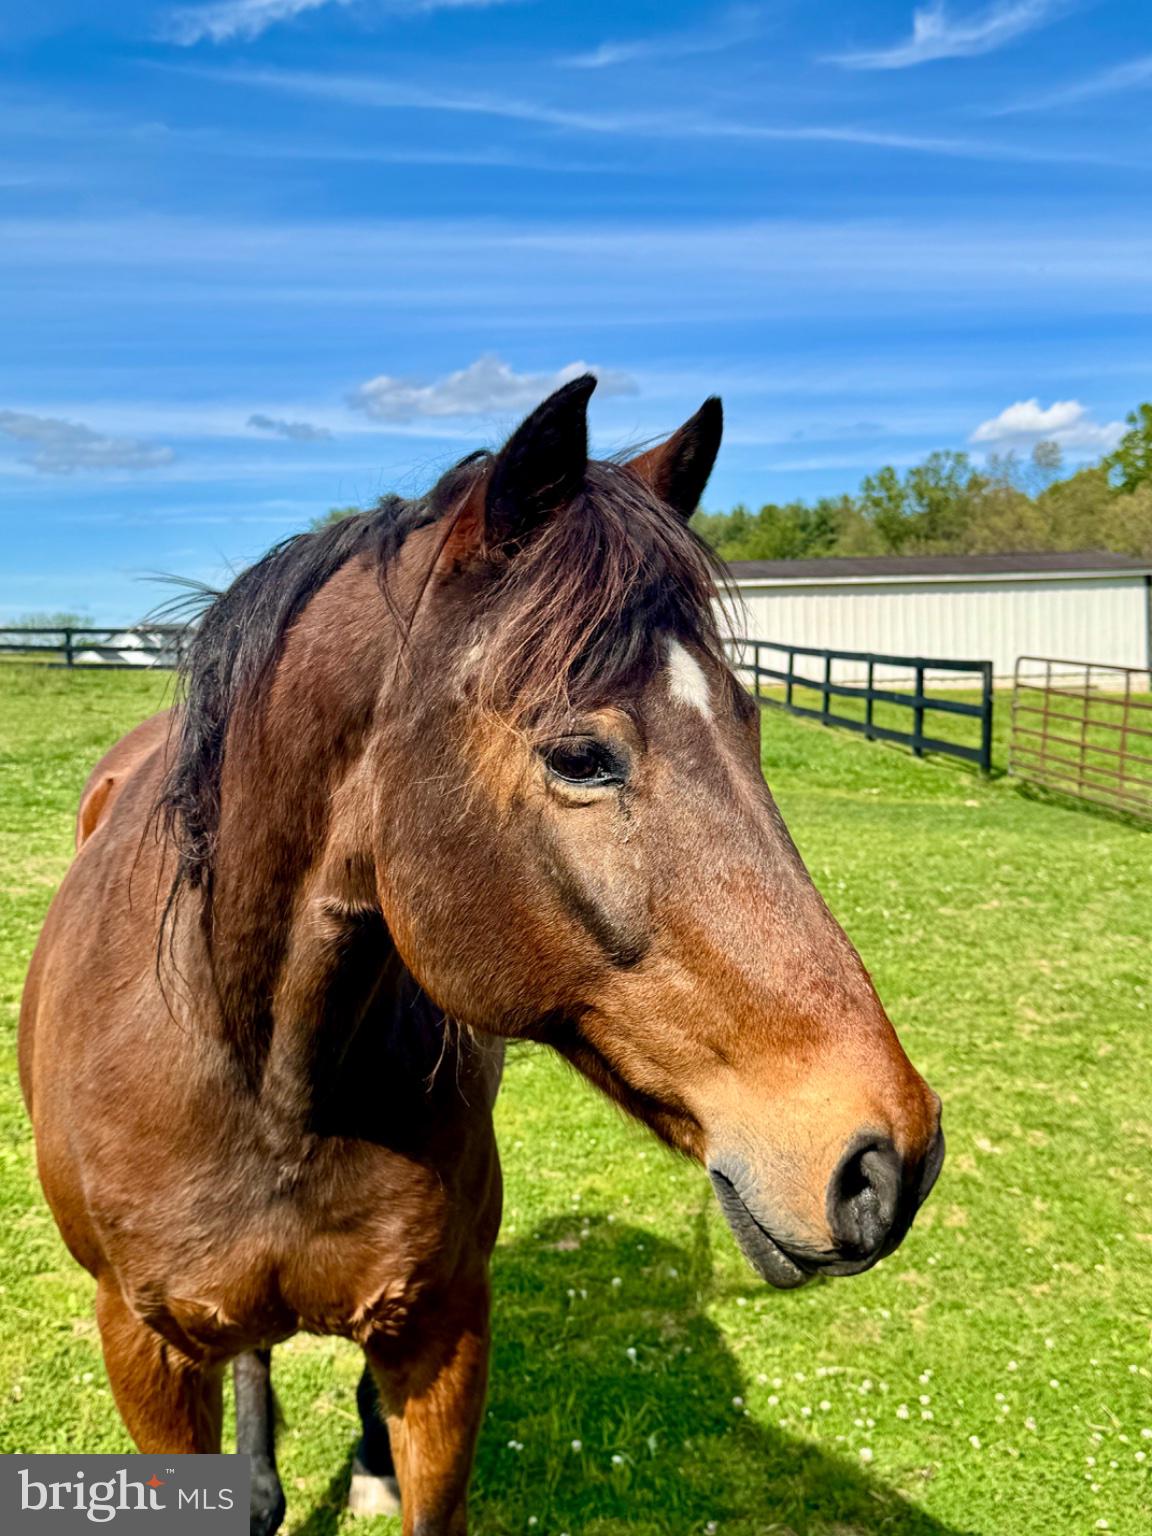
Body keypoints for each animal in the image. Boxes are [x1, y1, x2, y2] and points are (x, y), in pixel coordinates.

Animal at [20, 377, 944, 1535]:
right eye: (580, 756)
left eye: (749, 719)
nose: (891, 1161)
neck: (262, 1079)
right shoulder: (144, 1352)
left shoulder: (447, 1327)